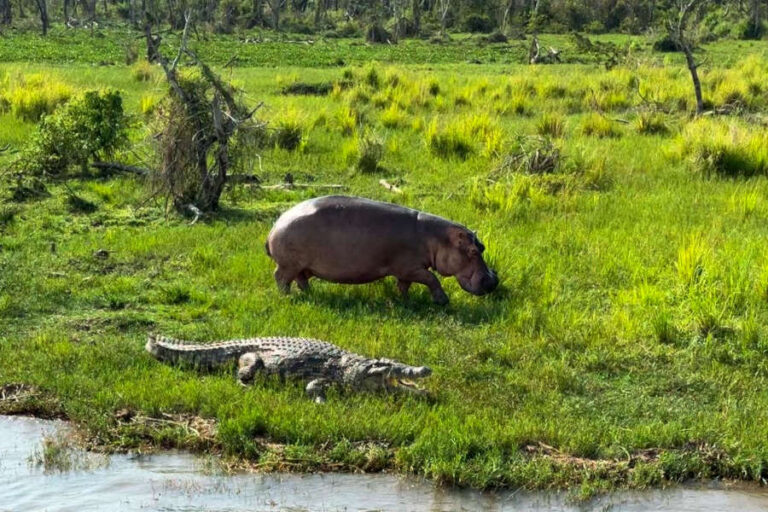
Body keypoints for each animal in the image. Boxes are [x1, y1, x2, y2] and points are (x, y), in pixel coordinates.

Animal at [265, 195, 499, 304]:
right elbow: (432, 279)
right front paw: (443, 301)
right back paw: (287, 297)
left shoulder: (407, 271)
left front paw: (405, 301)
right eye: (472, 251)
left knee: (300, 279)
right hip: (288, 264)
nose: (493, 281)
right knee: (280, 278)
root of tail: (275, 225)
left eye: (482, 247)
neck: (436, 238)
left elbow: (404, 286)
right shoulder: (411, 268)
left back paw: (310, 293)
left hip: (300, 266)